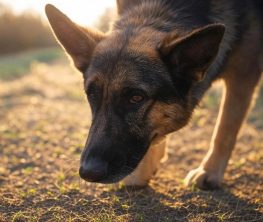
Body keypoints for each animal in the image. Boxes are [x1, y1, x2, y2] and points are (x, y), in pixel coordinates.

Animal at [45, 0, 263, 190]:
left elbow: (225, 129)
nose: (88, 173)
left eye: (136, 98)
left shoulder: (244, 75)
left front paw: (209, 172)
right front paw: (146, 167)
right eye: (92, 94)